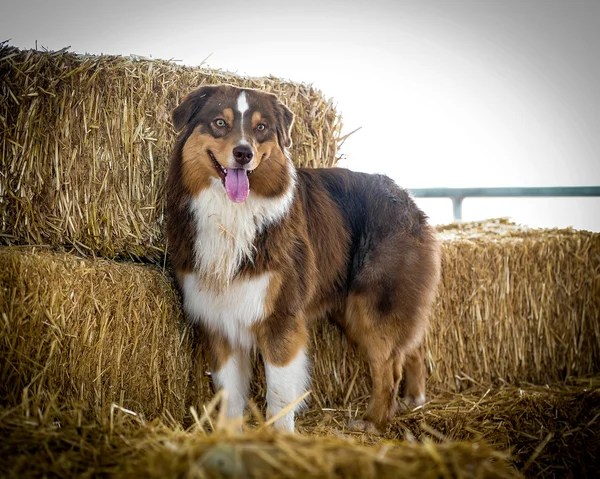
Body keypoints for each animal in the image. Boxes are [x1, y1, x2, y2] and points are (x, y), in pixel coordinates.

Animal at [164, 84, 440, 434]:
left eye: (261, 128)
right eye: (219, 123)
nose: (244, 153)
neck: (234, 213)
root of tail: (407, 197)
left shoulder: (281, 317)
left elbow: (280, 394)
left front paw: (280, 437)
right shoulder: (219, 319)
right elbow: (229, 395)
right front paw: (228, 436)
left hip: (375, 306)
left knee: (389, 366)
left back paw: (373, 422)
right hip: (353, 309)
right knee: (412, 348)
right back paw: (413, 400)